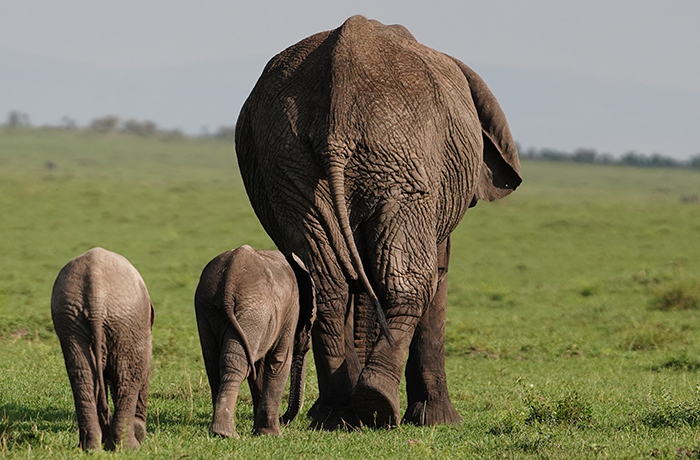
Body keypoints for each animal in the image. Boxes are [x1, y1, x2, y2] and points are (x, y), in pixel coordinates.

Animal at [51, 247, 154, 450]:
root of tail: (96, 293)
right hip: (124, 316)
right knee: (127, 375)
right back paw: (128, 447)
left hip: (70, 317)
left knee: (81, 374)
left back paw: (91, 447)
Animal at [194, 245, 316, 438]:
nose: (283, 420)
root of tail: (229, 281)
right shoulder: (290, 310)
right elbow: (279, 362)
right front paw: (272, 435)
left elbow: (258, 371)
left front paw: (258, 431)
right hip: (254, 311)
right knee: (237, 364)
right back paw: (226, 433)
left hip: (208, 309)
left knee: (214, 365)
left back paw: (220, 431)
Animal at [234, 15, 521, 429]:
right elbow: (438, 278)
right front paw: (442, 422)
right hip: (403, 161)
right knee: (410, 280)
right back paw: (376, 404)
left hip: (289, 159)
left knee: (327, 282)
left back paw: (339, 414)